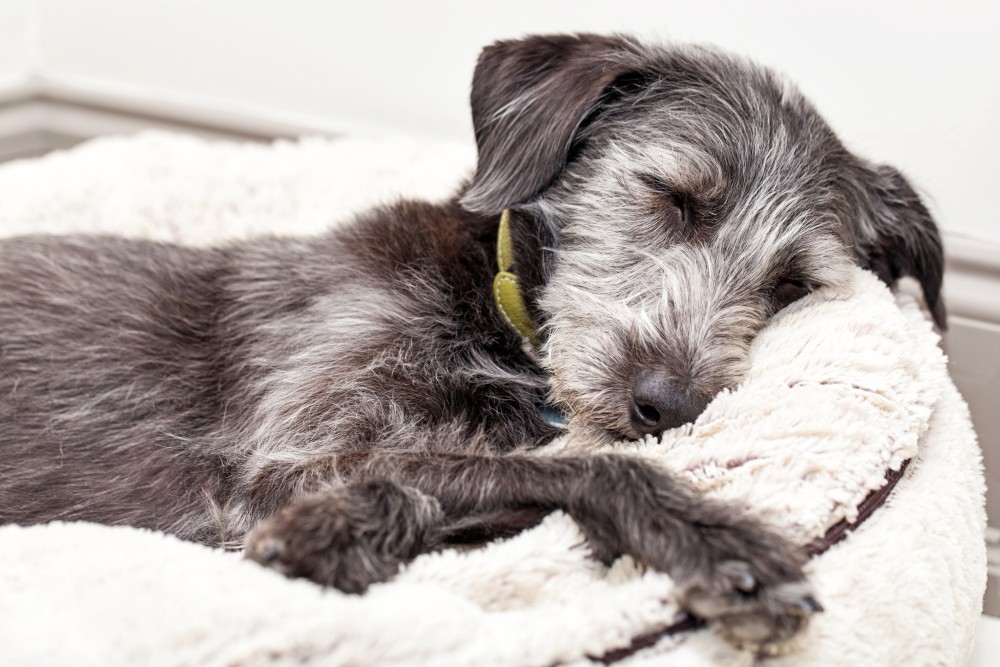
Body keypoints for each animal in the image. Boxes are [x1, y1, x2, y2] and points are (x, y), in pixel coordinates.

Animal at [0, 32, 940, 652]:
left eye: (790, 286)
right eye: (674, 197)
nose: (665, 403)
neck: (499, 325)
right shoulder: (283, 452)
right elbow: (585, 467)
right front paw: (716, 537)